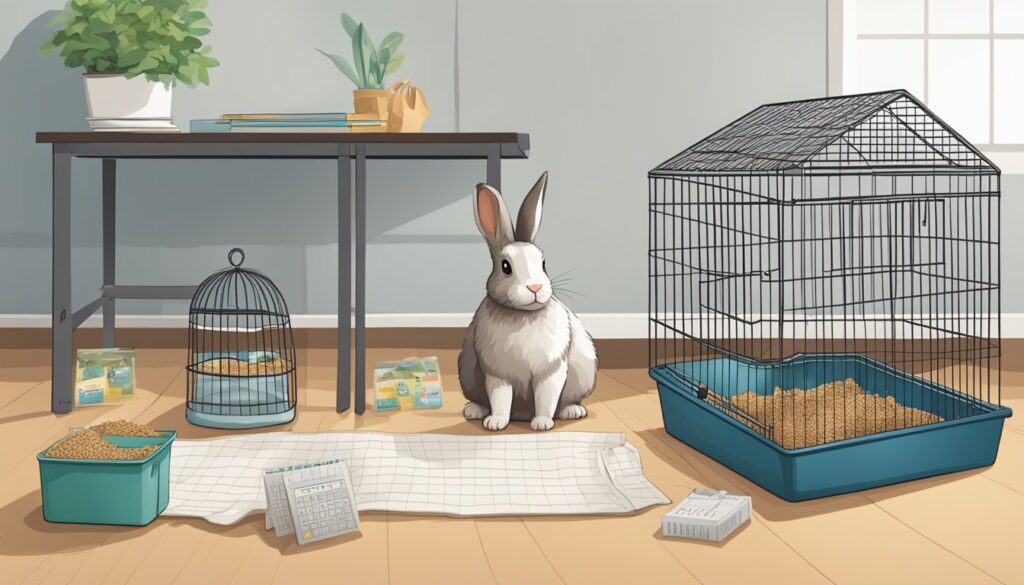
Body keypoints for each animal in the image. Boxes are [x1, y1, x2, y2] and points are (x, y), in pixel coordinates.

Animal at [458, 172, 598, 431]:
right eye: (505, 267)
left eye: (543, 263)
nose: (535, 288)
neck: (524, 314)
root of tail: (521, 415)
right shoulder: (497, 375)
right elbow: (500, 398)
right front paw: (496, 423)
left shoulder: (550, 371)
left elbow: (546, 397)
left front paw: (542, 423)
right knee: (483, 399)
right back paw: (475, 411)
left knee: (564, 402)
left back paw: (572, 411)